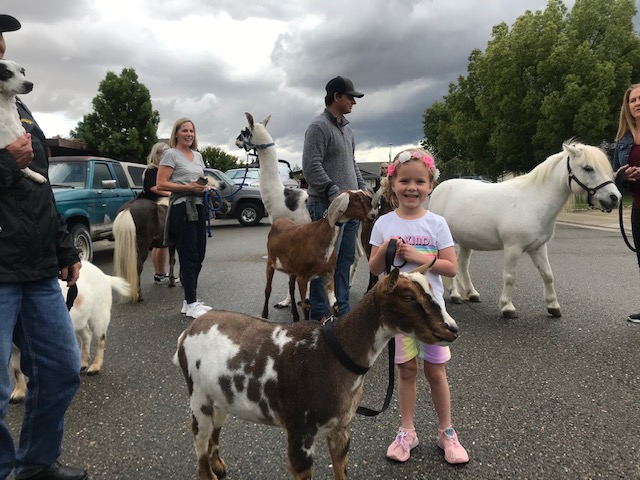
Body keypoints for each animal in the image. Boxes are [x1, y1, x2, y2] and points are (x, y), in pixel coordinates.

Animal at [10, 260, 131, 404]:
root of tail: (105, 276)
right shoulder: (13, 347)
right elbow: (16, 370)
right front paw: (18, 393)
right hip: (79, 320)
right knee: (86, 336)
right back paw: (82, 364)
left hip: (99, 316)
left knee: (100, 339)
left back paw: (95, 367)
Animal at [172, 264, 458, 480]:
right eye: (408, 298)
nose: (452, 329)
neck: (332, 353)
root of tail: (187, 333)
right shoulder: (300, 434)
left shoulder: (341, 429)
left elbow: (341, 471)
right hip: (199, 398)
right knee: (199, 438)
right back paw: (209, 471)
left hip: (219, 396)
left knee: (215, 429)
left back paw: (219, 465)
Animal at [264, 191, 378, 322]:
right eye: (357, 199)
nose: (373, 215)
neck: (318, 236)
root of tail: (279, 221)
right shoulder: (303, 276)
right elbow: (306, 305)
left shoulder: (328, 274)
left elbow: (335, 305)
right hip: (270, 263)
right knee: (268, 290)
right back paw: (264, 315)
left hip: (292, 269)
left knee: (291, 288)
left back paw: (295, 316)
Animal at [430, 140, 620, 318]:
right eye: (588, 168)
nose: (615, 198)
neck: (534, 201)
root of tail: (440, 188)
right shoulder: (513, 248)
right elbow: (510, 277)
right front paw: (507, 307)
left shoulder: (538, 248)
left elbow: (547, 275)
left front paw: (553, 306)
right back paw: (455, 295)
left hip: (466, 240)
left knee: (463, 264)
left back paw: (471, 294)